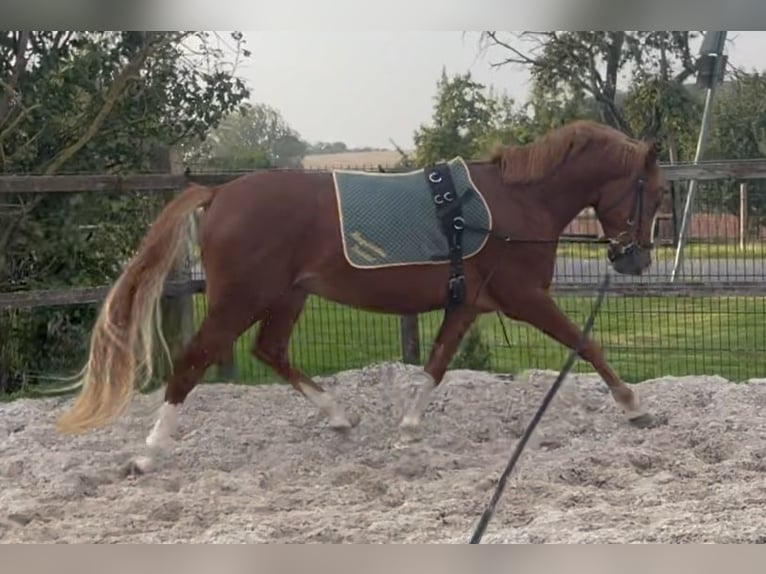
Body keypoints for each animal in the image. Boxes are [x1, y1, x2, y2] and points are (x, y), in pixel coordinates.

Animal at [55, 119, 664, 474]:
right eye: (655, 193)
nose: (636, 261)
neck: (516, 205)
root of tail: (219, 193)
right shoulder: (525, 297)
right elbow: (587, 345)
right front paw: (634, 407)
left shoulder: (467, 303)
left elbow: (437, 362)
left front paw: (408, 430)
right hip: (240, 298)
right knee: (193, 359)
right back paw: (149, 452)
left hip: (287, 296)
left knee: (268, 351)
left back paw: (338, 416)